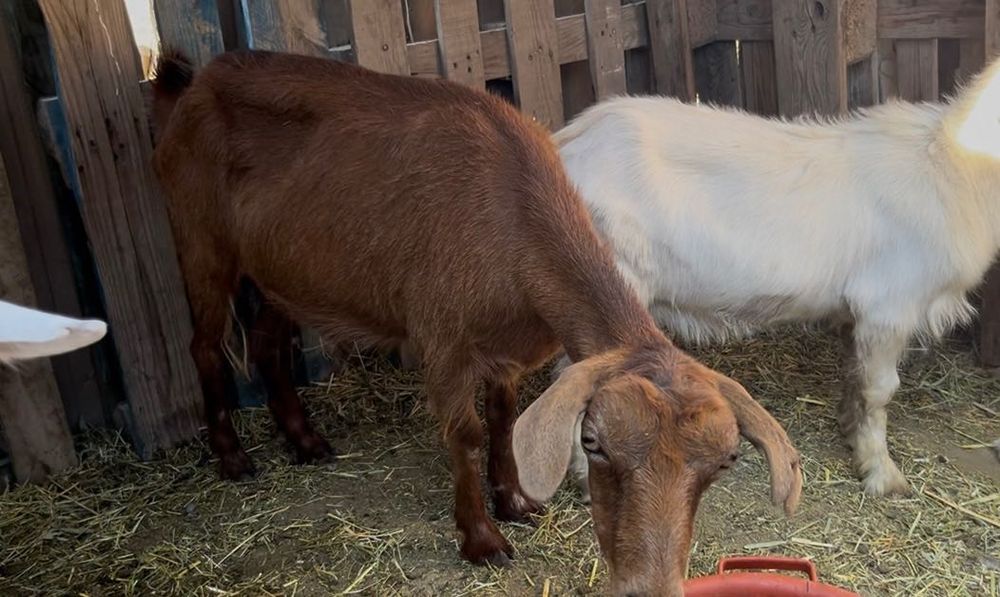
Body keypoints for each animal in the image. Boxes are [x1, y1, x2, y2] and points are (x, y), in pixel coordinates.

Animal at [151, 49, 801, 596]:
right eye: (591, 442)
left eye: (725, 463)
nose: (648, 584)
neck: (510, 218)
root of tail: (196, 79)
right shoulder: (441, 338)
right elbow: (464, 434)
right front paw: (483, 539)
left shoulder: (509, 346)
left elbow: (505, 417)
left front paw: (515, 500)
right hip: (199, 238)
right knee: (204, 346)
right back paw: (233, 458)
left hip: (279, 269)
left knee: (265, 342)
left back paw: (306, 441)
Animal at [555, 57, 1000, 498]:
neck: (949, 162)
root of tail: (568, 142)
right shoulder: (888, 307)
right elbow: (879, 391)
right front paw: (882, 474)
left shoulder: (857, 315)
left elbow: (853, 373)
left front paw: (849, 429)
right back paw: (586, 479)